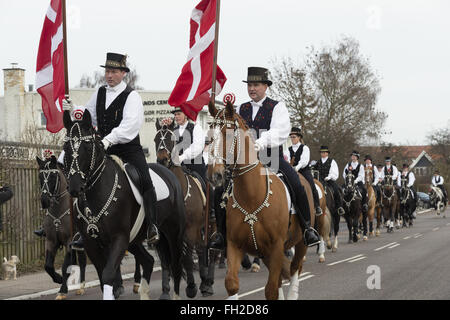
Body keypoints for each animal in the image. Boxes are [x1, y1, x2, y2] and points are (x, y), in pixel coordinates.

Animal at [36, 155, 87, 300]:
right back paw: (81, 287)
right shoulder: (51, 241)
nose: (44, 201)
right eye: (40, 176)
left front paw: (62, 290)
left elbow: (65, 266)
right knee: (82, 261)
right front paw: (58, 279)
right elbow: (48, 266)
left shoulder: (69, 241)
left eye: (53, 176)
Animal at [62, 110, 186, 300]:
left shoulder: (119, 238)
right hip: (135, 240)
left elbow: (108, 274)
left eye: (88, 147)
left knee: (176, 266)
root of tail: (169, 174)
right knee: (149, 261)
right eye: (66, 147)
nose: (76, 187)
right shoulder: (91, 244)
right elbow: (103, 276)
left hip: (173, 233)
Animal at [154, 119, 217, 298]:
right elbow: (166, 260)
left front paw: (190, 287)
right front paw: (165, 291)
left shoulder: (190, 229)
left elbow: (187, 258)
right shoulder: (162, 234)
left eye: (172, 140)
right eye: (155, 139)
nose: (162, 160)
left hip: (211, 226)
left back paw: (208, 283)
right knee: (202, 250)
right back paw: (204, 281)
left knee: (211, 251)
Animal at [207, 102, 314, 300]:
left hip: (300, 243)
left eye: (229, 133)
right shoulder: (234, 245)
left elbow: (271, 290)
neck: (251, 195)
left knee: (295, 269)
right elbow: (232, 284)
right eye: (210, 136)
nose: (214, 175)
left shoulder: (277, 247)